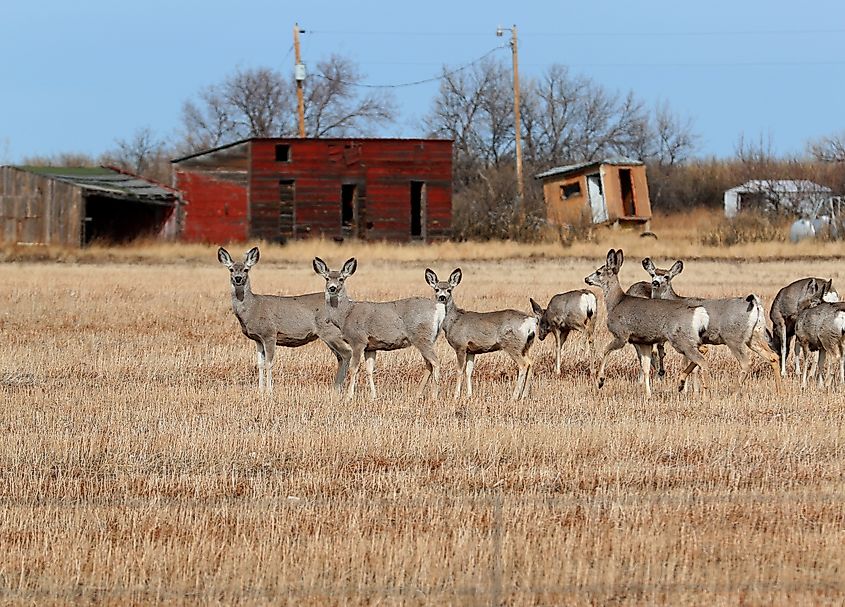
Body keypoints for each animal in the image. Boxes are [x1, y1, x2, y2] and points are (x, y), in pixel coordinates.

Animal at [218, 247, 352, 394]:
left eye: (246, 269)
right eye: (231, 269)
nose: (238, 278)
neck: (253, 307)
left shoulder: (269, 334)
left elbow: (269, 363)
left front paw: (269, 391)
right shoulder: (258, 339)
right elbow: (260, 364)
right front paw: (260, 390)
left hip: (330, 332)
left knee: (347, 353)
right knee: (340, 357)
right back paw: (336, 388)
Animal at [310, 258, 442, 402]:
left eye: (341, 279)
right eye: (327, 278)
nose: (332, 288)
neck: (346, 314)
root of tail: (438, 310)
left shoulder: (358, 341)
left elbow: (354, 368)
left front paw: (349, 396)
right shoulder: (370, 347)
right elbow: (369, 370)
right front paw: (373, 396)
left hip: (422, 338)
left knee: (436, 362)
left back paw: (434, 396)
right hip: (427, 339)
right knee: (429, 364)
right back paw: (418, 394)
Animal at [426, 268, 536, 402]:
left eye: (449, 290)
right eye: (436, 289)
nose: (442, 297)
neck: (453, 321)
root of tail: (530, 322)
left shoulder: (461, 346)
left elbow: (459, 370)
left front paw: (456, 396)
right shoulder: (471, 350)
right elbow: (468, 371)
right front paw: (469, 395)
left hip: (512, 344)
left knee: (523, 364)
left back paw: (514, 396)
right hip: (526, 346)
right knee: (531, 362)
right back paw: (524, 395)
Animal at [588, 248, 712, 400]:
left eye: (598, 272)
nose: (586, 279)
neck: (616, 302)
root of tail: (698, 312)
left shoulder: (621, 335)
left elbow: (605, 350)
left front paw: (600, 381)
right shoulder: (644, 341)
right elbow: (646, 367)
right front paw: (648, 394)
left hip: (680, 339)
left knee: (702, 360)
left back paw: (701, 395)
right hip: (689, 339)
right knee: (702, 353)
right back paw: (682, 384)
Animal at [644, 256, 780, 394]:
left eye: (666, 276)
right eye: (653, 274)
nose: (655, 283)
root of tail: (755, 305)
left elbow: (690, 364)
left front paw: (688, 389)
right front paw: (689, 388)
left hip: (733, 337)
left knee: (746, 363)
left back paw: (734, 393)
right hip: (755, 335)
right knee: (773, 356)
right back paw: (780, 392)